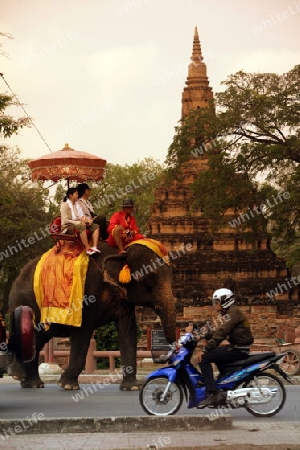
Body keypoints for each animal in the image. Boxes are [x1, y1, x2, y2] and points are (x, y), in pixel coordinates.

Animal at [7, 243, 176, 390]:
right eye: (150, 280)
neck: (120, 251)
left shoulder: (124, 299)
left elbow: (127, 332)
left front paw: (133, 387)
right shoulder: (85, 296)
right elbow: (82, 333)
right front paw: (67, 385)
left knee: (38, 340)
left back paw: (32, 384)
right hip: (21, 303)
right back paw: (18, 376)